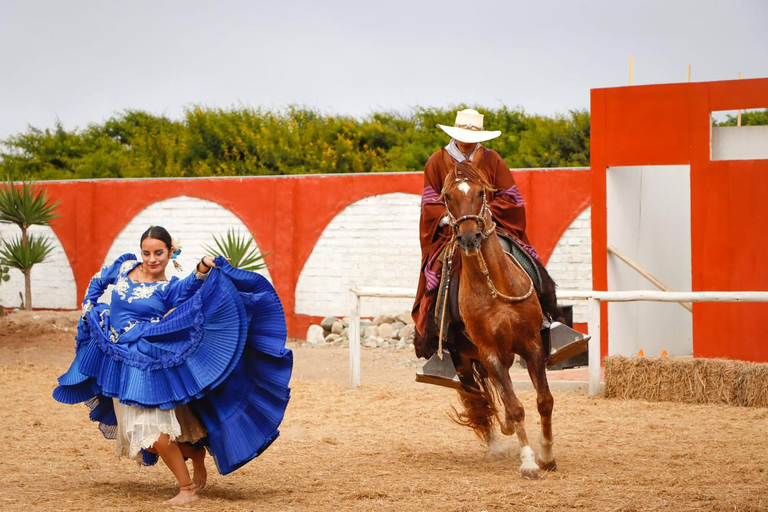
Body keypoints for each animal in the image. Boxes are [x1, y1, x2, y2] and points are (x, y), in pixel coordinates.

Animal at [438, 148, 560, 480]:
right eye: (448, 197)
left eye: (481, 192)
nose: (469, 238)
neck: (495, 287)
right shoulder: (489, 352)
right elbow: (515, 406)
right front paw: (529, 461)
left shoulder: (531, 345)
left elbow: (544, 400)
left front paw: (547, 454)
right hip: (466, 359)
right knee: (479, 400)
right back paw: (496, 443)